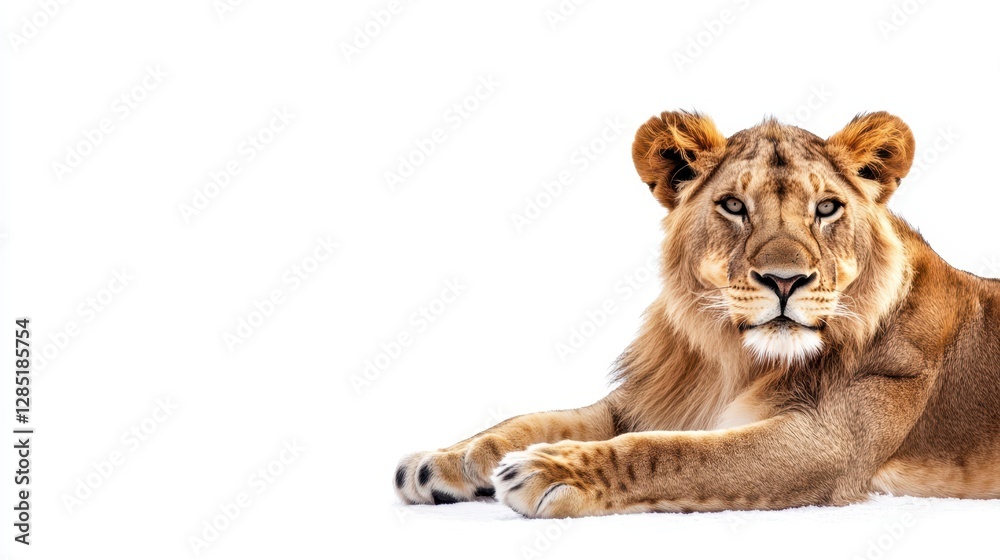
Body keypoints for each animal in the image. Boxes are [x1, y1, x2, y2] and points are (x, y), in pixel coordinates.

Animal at [394, 110, 1000, 518]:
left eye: (827, 208)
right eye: (733, 205)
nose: (785, 281)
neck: (739, 358)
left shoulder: (828, 444)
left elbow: (674, 453)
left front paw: (550, 470)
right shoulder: (653, 398)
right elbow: (533, 419)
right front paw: (443, 462)